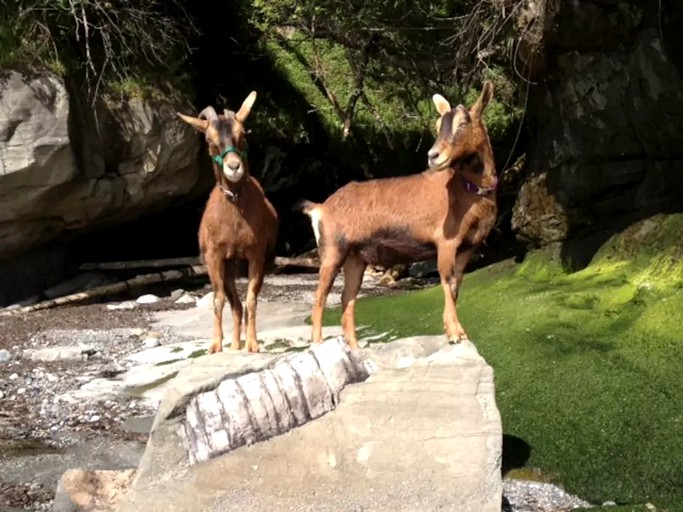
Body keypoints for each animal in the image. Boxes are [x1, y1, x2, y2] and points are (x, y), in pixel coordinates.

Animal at [180, 92, 282, 354]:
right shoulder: (215, 257)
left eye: (242, 133)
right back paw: (234, 344)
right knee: (233, 302)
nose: (234, 166)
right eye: (209, 139)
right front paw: (215, 345)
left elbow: (251, 299)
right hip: (228, 265)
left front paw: (253, 344)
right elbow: (218, 300)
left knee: (240, 303)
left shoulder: (255, 255)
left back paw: (240, 343)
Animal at [300, 82, 496, 350]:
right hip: (332, 250)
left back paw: (354, 347)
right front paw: (454, 335)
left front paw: (460, 332)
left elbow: (456, 286)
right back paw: (319, 343)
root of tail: (320, 208)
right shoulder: (445, 243)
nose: (433, 155)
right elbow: (446, 282)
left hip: (355, 258)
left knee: (347, 297)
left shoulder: (467, 247)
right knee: (320, 296)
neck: (468, 191)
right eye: (438, 125)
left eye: (464, 122)